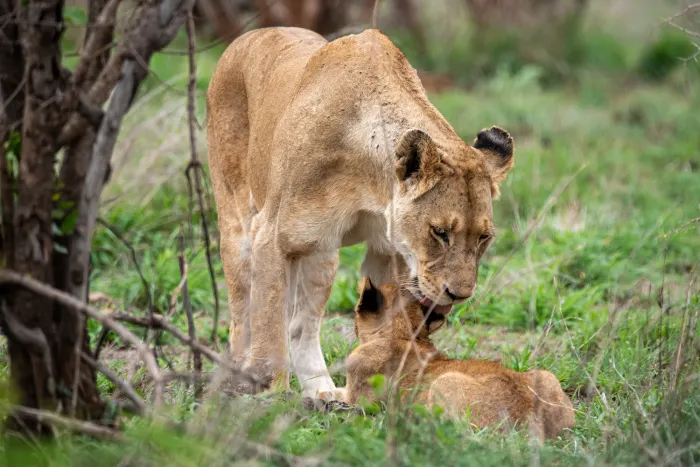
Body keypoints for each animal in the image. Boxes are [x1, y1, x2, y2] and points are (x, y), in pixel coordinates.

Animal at [206, 26, 515, 400]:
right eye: (440, 232)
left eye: (484, 238)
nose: (460, 295)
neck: (372, 185)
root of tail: (249, 35)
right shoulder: (271, 237)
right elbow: (268, 326)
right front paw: (271, 398)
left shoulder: (387, 251)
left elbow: (388, 320)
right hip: (239, 225)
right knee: (243, 314)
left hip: (322, 254)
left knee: (301, 325)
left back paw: (322, 392)